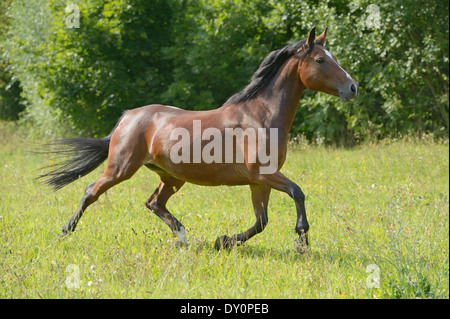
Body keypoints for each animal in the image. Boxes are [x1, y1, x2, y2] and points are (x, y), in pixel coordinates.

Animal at [40, 27, 360, 254]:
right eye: (320, 59)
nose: (353, 87)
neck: (261, 115)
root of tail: (128, 116)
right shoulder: (264, 174)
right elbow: (297, 193)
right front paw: (302, 242)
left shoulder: (259, 181)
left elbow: (261, 221)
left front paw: (223, 241)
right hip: (121, 168)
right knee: (91, 191)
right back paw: (65, 231)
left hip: (171, 177)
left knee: (154, 203)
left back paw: (182, 238)